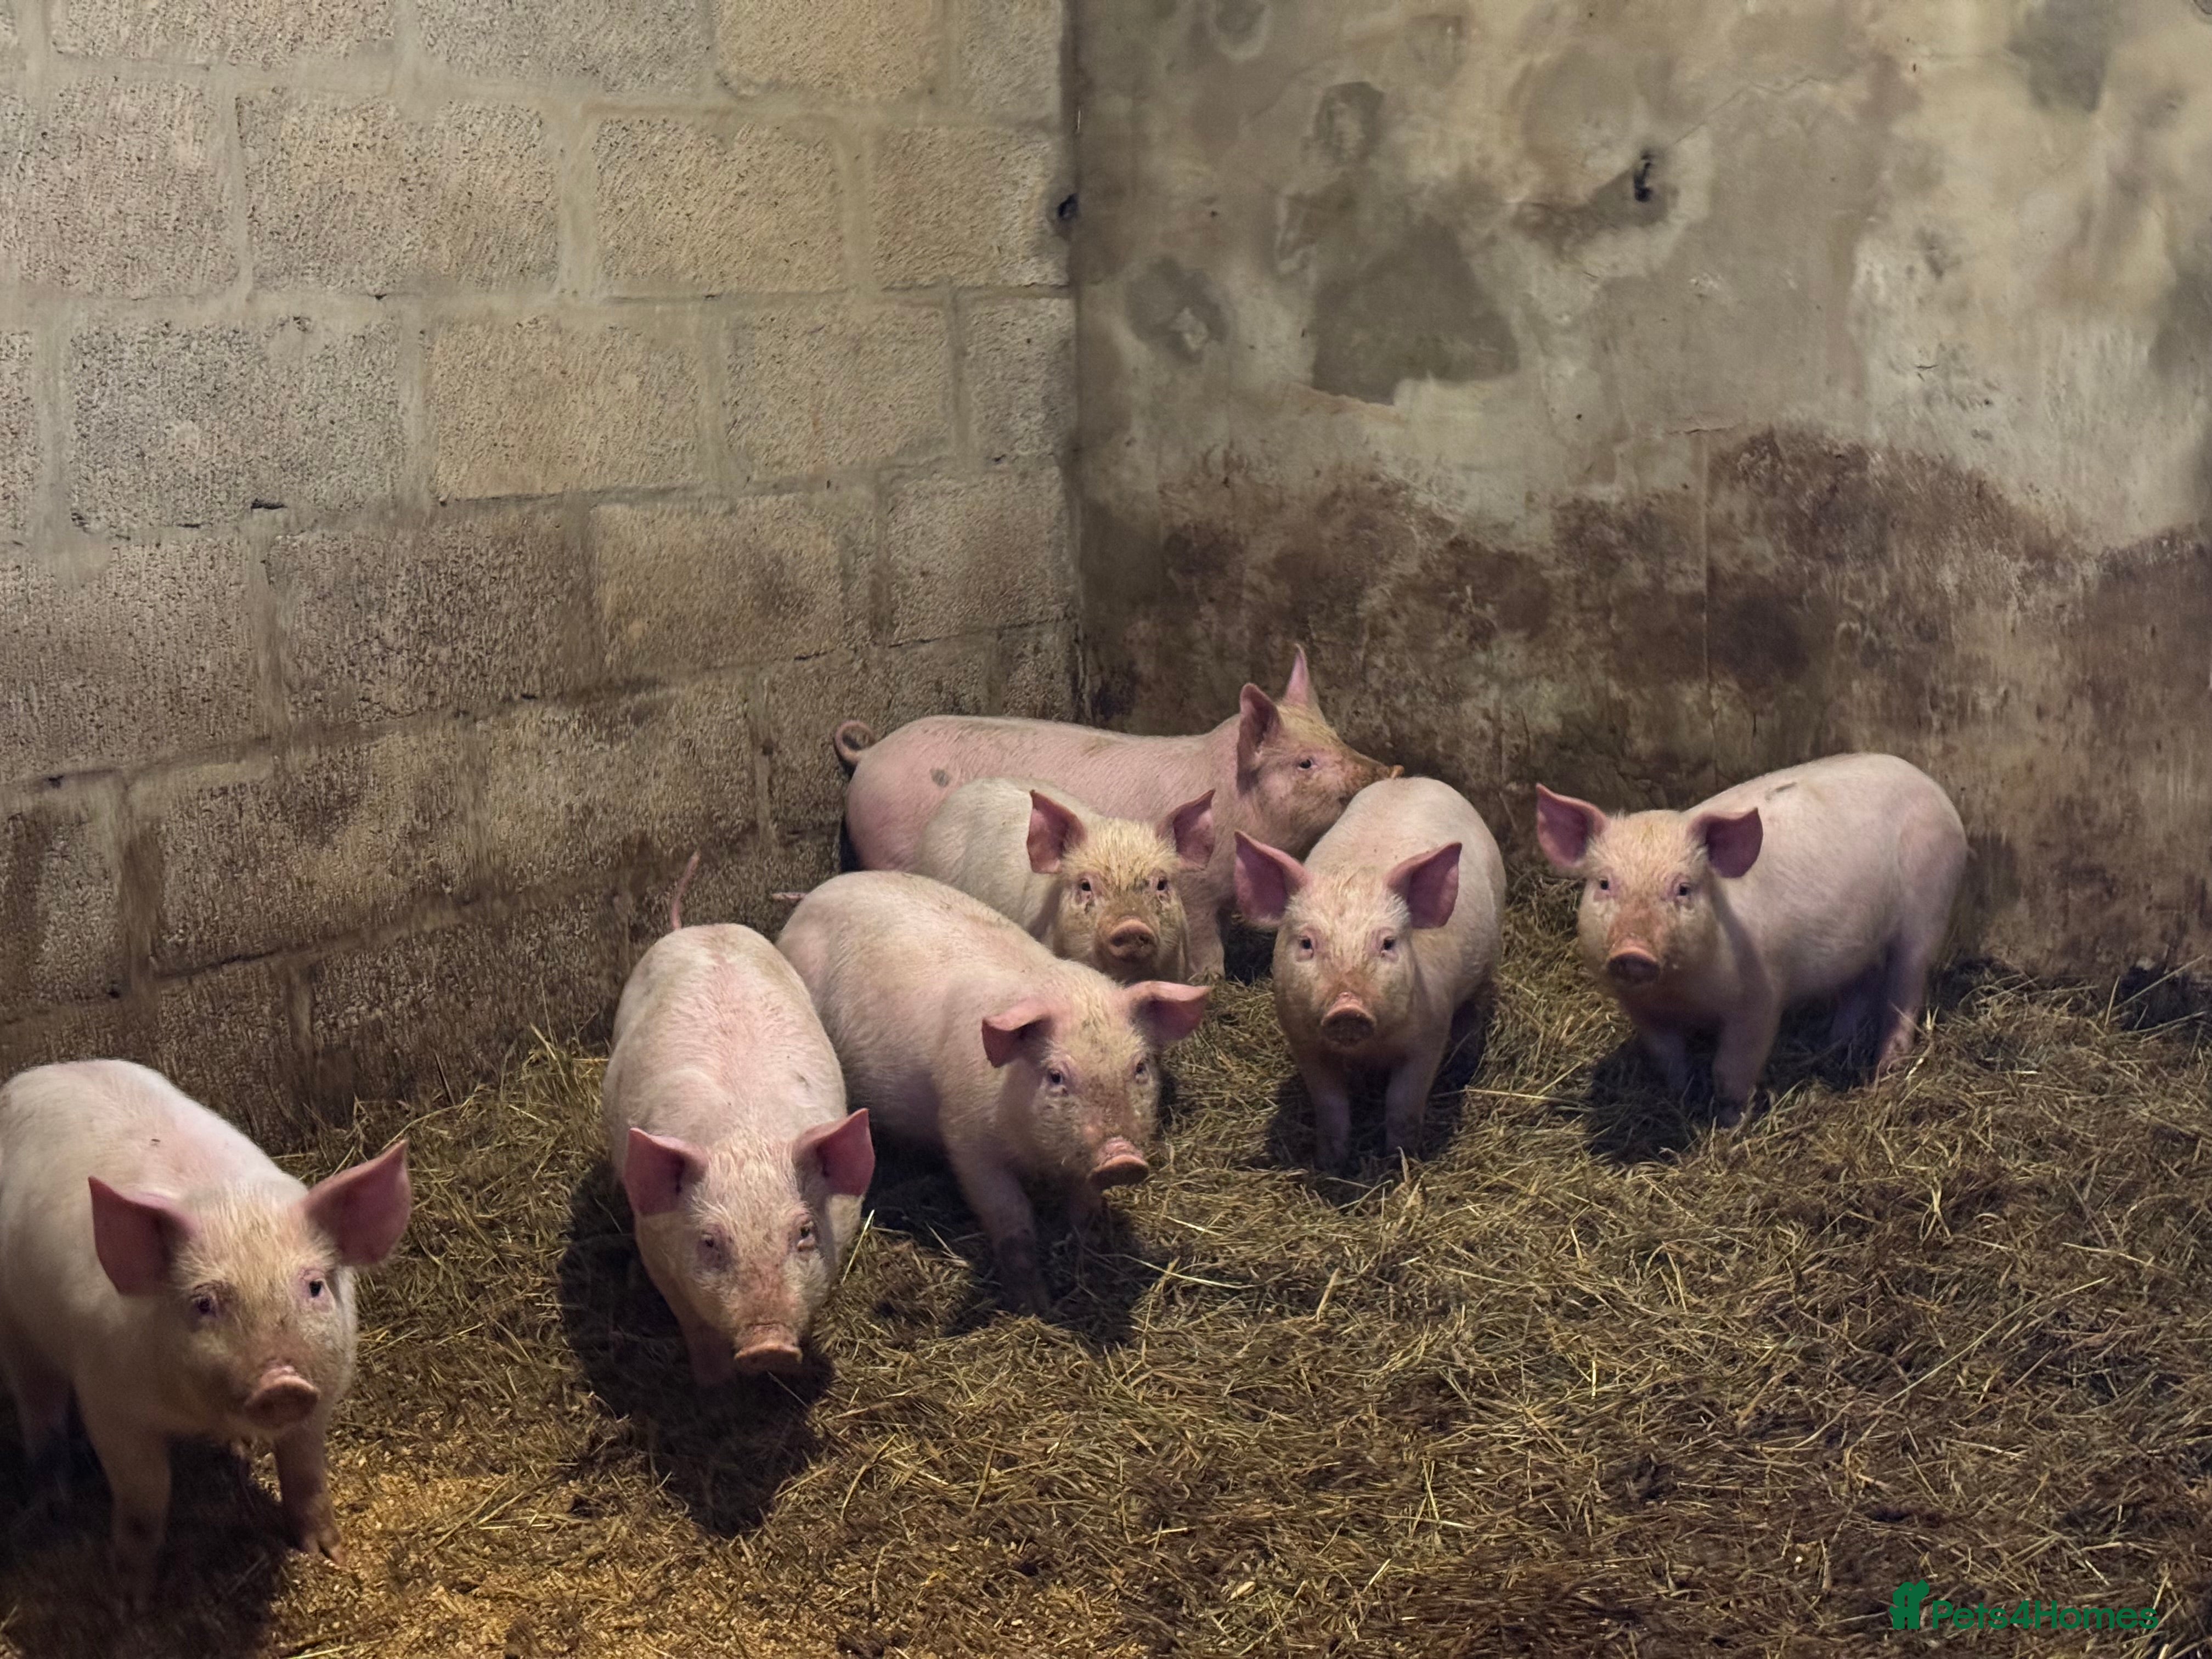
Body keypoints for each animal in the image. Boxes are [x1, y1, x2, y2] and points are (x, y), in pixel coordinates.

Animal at [0, 1060, 411, 1603]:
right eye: (204, 1303)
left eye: (315, 1286)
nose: (281, 1383)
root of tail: (40, 1071)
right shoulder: (108, 1401)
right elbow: (146, 1497)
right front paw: (132, 1598)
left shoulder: (323, 1393)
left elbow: (307, 1473)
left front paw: (330, 1554)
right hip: (16, 1327)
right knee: (38, 1407)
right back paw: (52, 1504)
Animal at [602, 859, 873, 1385]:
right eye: (710, 1241)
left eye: (804, 1232)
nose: (768, 1347)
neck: (744, 1131)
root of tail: (698, 927)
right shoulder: (654, 1245)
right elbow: (695, 1329)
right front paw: (712, 1386)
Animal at [776, 871, 1209, 1314]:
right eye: (1056, 1076)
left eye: (1139, 1068)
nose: (1122, 1158)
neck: (1036, 1153)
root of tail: (818, 893)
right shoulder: (967, 1141)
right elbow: (1011, 1219)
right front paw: (1035, 1307)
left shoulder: (1081, 1160)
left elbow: (1085, 1207)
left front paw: (1086, 1257)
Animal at [1234, 777, 1506, 1171]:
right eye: (1306, 943)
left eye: (1388, 943)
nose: (1348, 1008)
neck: (1370, 1048)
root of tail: (1414, 779)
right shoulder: (1302, 1039)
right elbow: (1330, 1107)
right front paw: (1330, 1164)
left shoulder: (1430, 1033)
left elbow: (1403, 1105)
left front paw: (1399, 1161)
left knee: (1475, 1010)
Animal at [1534, 753, 1968, 1126]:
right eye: (1605, 884)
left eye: (1683, 889)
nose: (1633, 952)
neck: (1679, 993)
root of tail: (1933, 787)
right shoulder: (1640, 1009)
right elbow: (1668, 1059)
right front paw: (1682, 1100)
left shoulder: (1760, 999)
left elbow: (1731, 1069)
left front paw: (1730, 1124)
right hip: (1857, 942)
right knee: (1861, 986)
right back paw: (1829, 1043)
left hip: (1928, 909)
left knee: (1905, 993)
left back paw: (1885, 1071)